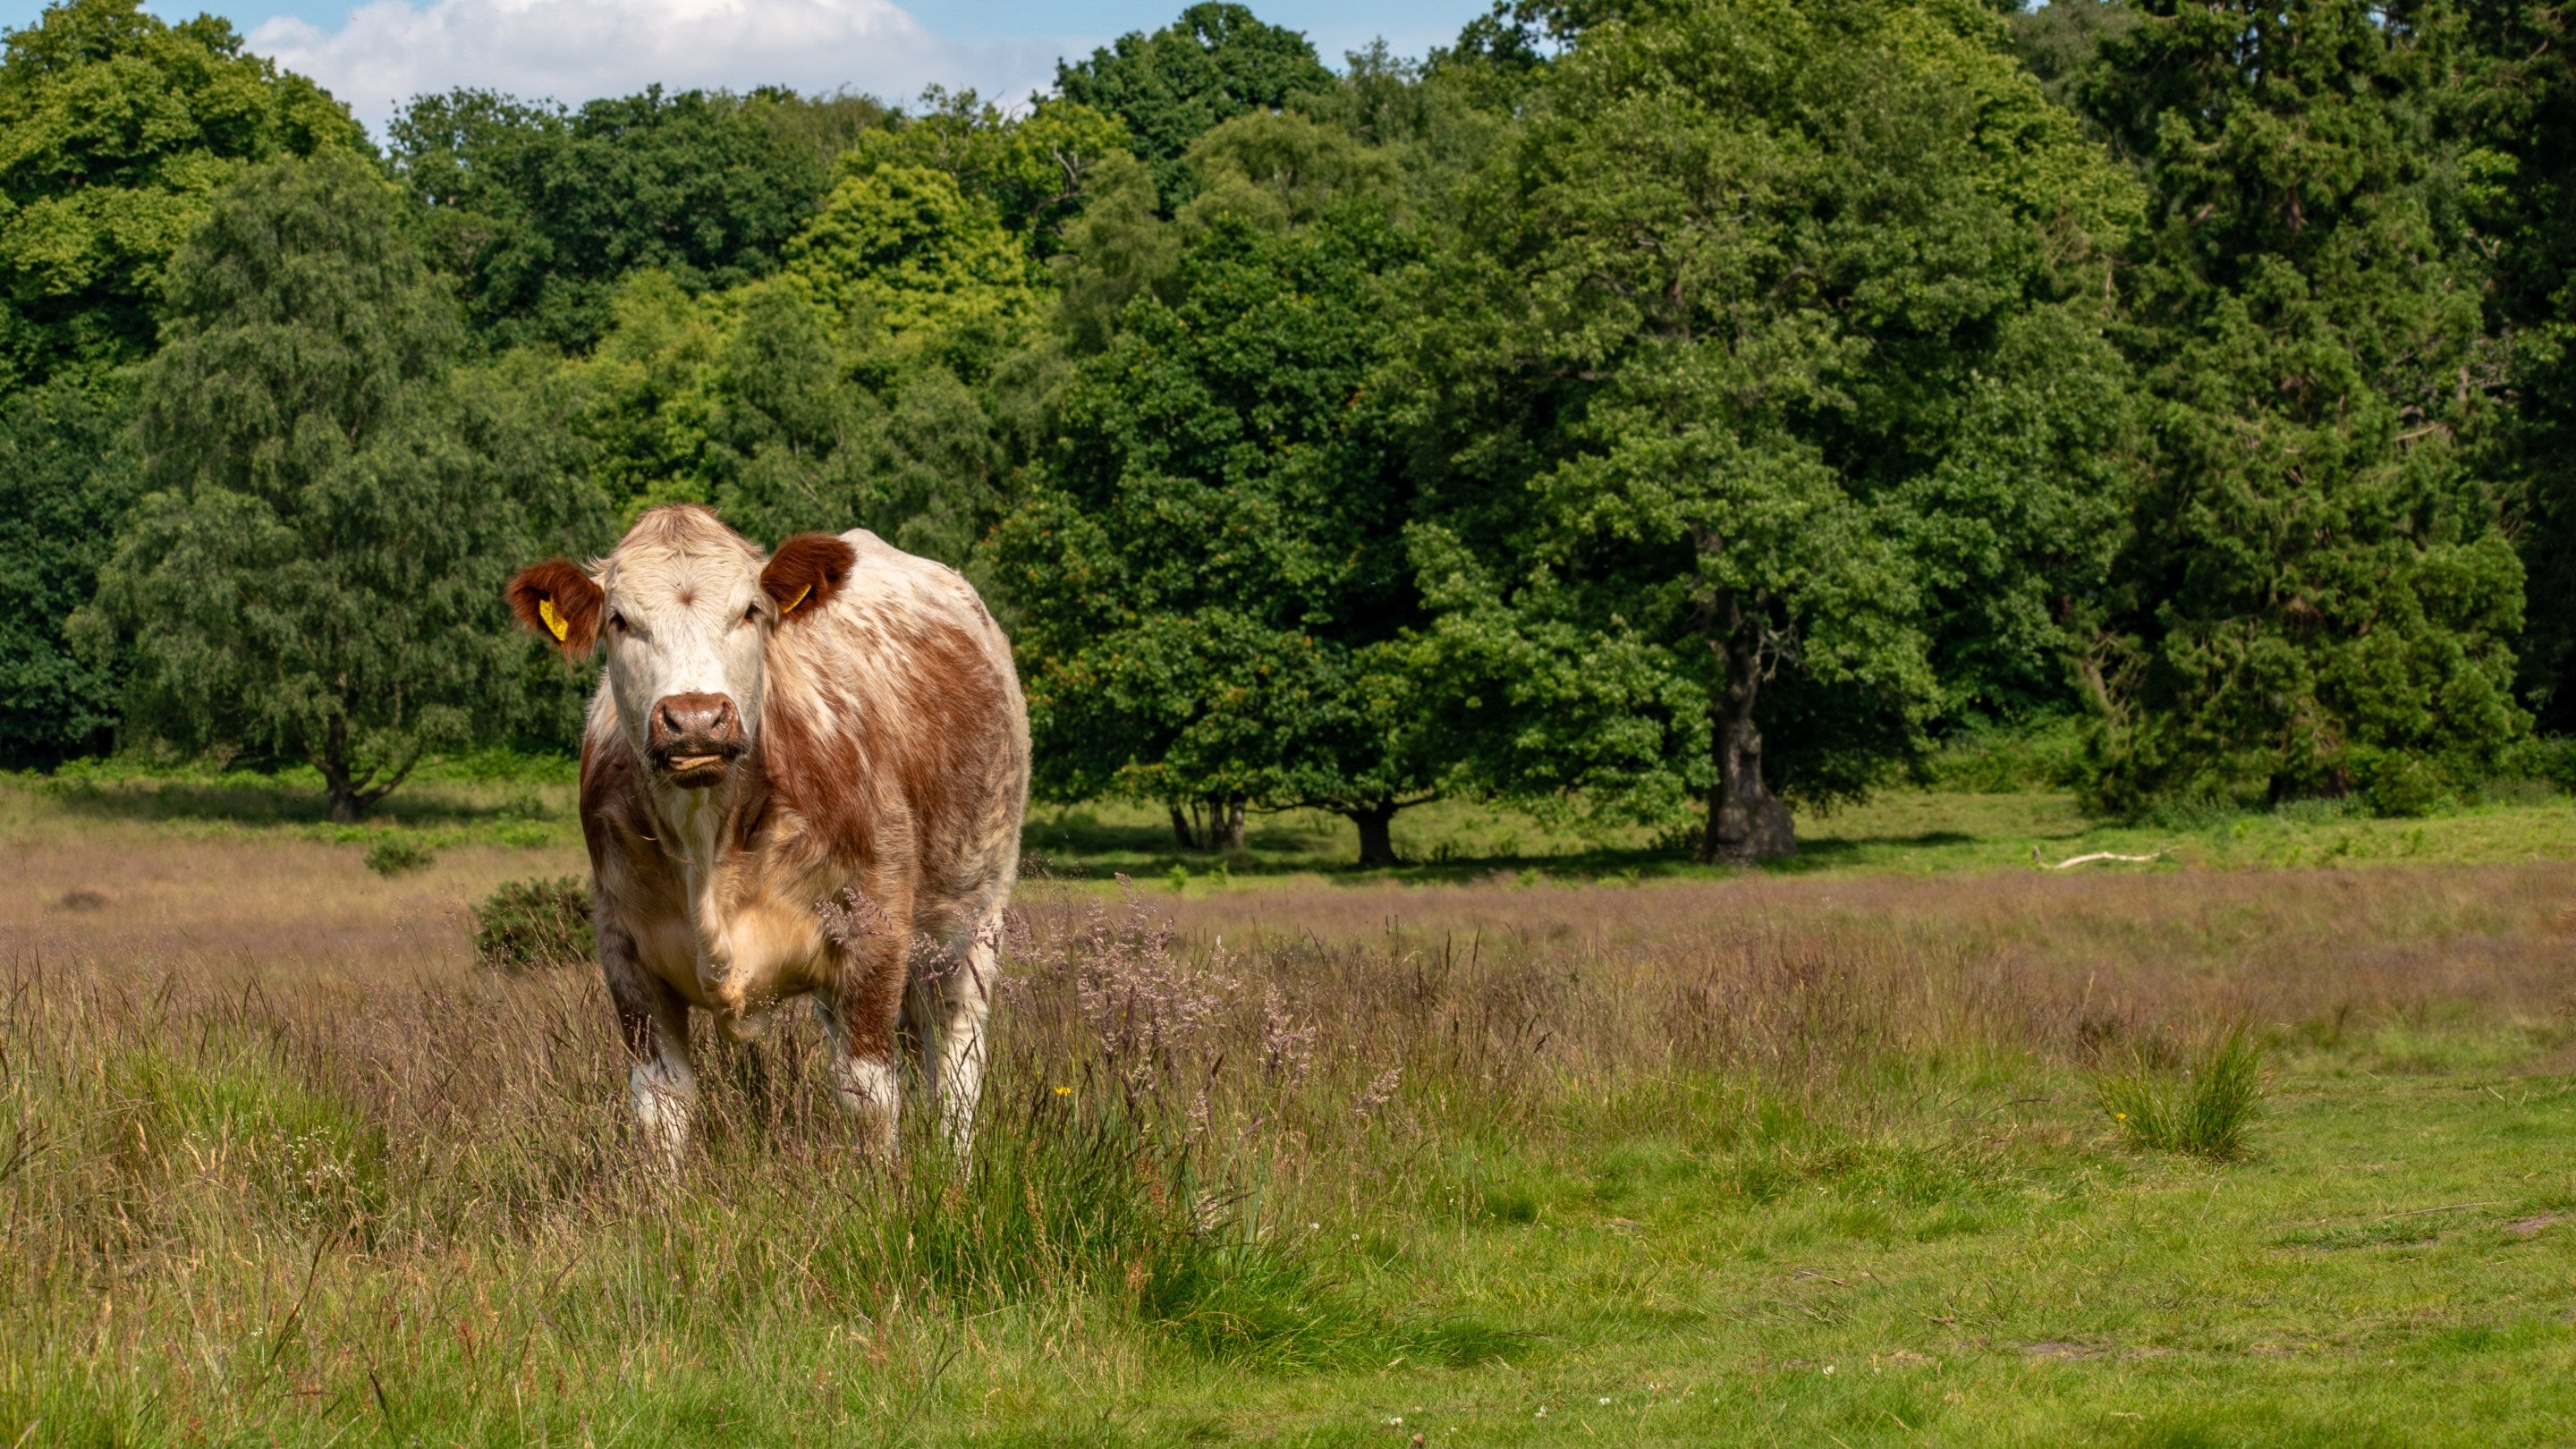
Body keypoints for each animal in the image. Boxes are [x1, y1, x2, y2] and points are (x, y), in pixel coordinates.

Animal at [505, 505, 1029, 1166]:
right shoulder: (625, 955)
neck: (709, 842)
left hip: (975, 917)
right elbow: (659, 1111)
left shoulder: (876, 933)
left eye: (751, 610)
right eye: (620, 621)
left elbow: (868, 1097)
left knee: (958, 1061)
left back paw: (955, 1166)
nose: (695, 718)